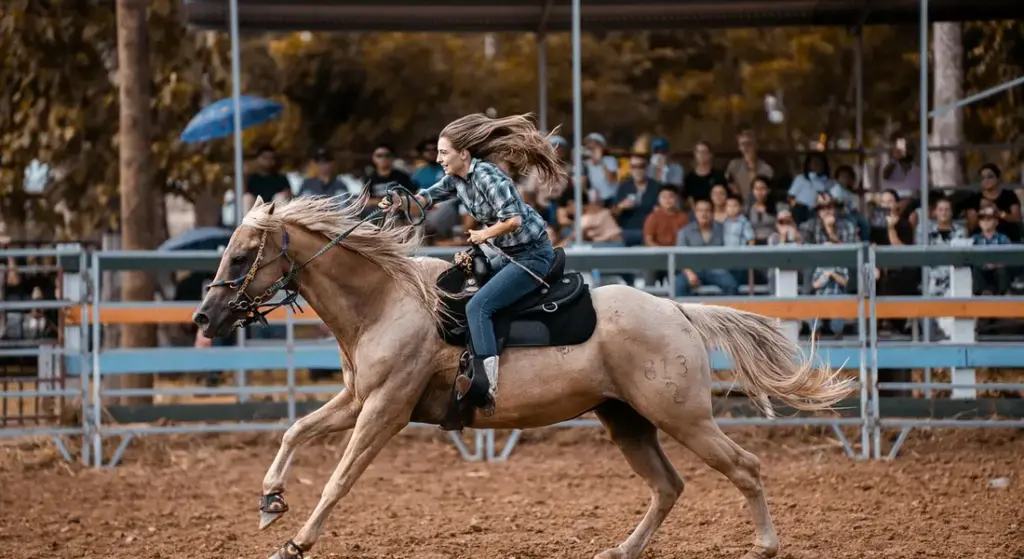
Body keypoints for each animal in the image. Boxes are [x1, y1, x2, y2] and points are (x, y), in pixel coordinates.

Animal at [192, 193, 855, 559]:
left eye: (241, 254)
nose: (205, 316)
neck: (389, 300)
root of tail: (677, 311)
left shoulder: (385, 409)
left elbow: (338, 480)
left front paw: (295, 542)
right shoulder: (358, 398)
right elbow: (295, 431)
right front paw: (270, 502)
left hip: (682, 416)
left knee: (744, 466)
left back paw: (765, 545)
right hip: (626, 421)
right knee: (668, 486)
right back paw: (622, 549)